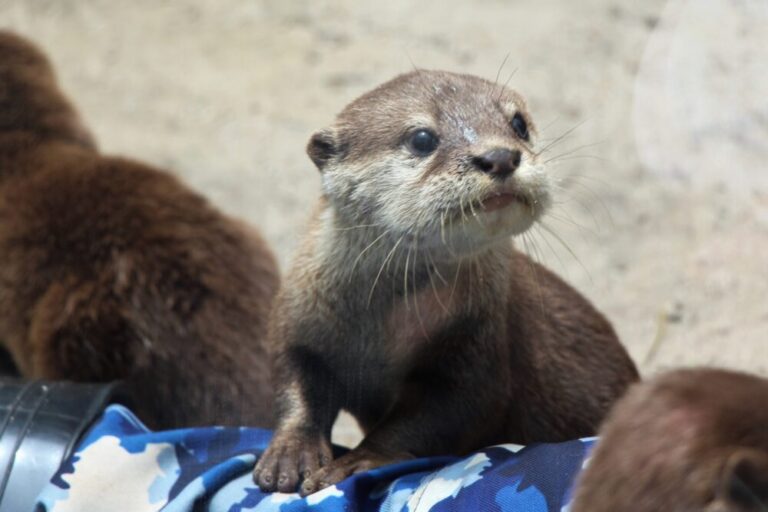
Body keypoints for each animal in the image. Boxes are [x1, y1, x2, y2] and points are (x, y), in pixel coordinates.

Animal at [252, 69, 636, 496]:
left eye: (518, 124)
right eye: (422, 138)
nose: (499, 156)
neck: (380, 329)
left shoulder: (478, 342)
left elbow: (445, 412)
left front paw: (357, 462)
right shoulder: (299, 316)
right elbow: (295, 378)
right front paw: (291, 453)